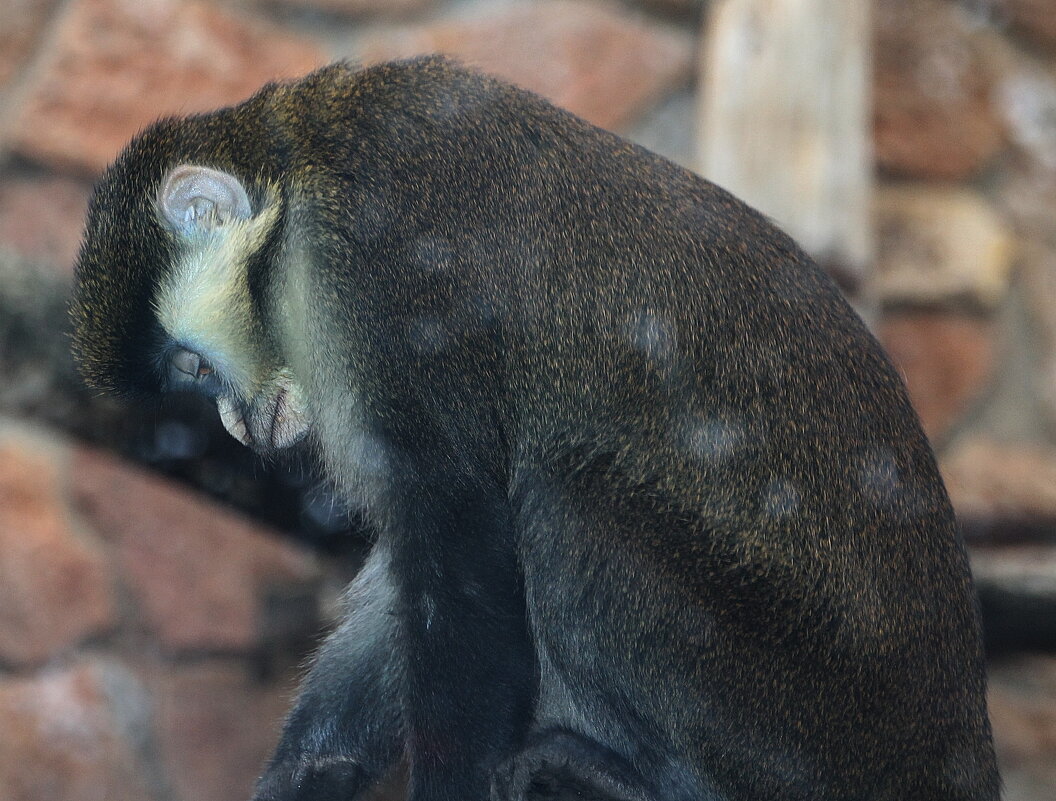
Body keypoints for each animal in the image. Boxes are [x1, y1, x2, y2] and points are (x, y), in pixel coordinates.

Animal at [72, 58, 996, 801]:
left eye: (192, 367)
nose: (231, 423)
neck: (300, 181)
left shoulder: (383, 272)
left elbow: (458, 543)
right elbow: (407, 580)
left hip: (792, 731)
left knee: (565, 500)